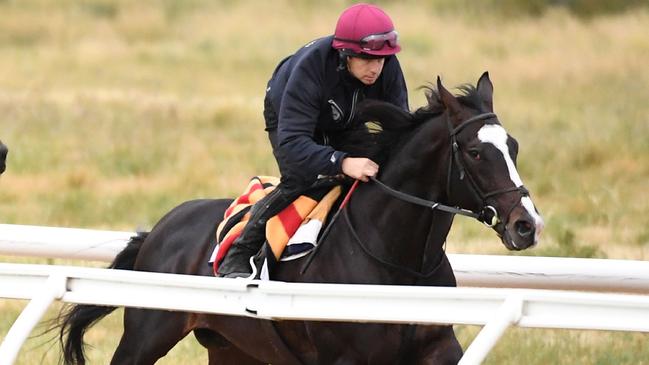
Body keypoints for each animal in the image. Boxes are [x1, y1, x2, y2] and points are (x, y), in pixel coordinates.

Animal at [55, 72, 540, 364]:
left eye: (513, 146)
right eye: (475, 152)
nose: (527, 224)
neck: (400, 263)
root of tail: (160, 228)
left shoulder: (438, 348)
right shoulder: (346, 357)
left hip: (234, 348)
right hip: (146, 334)